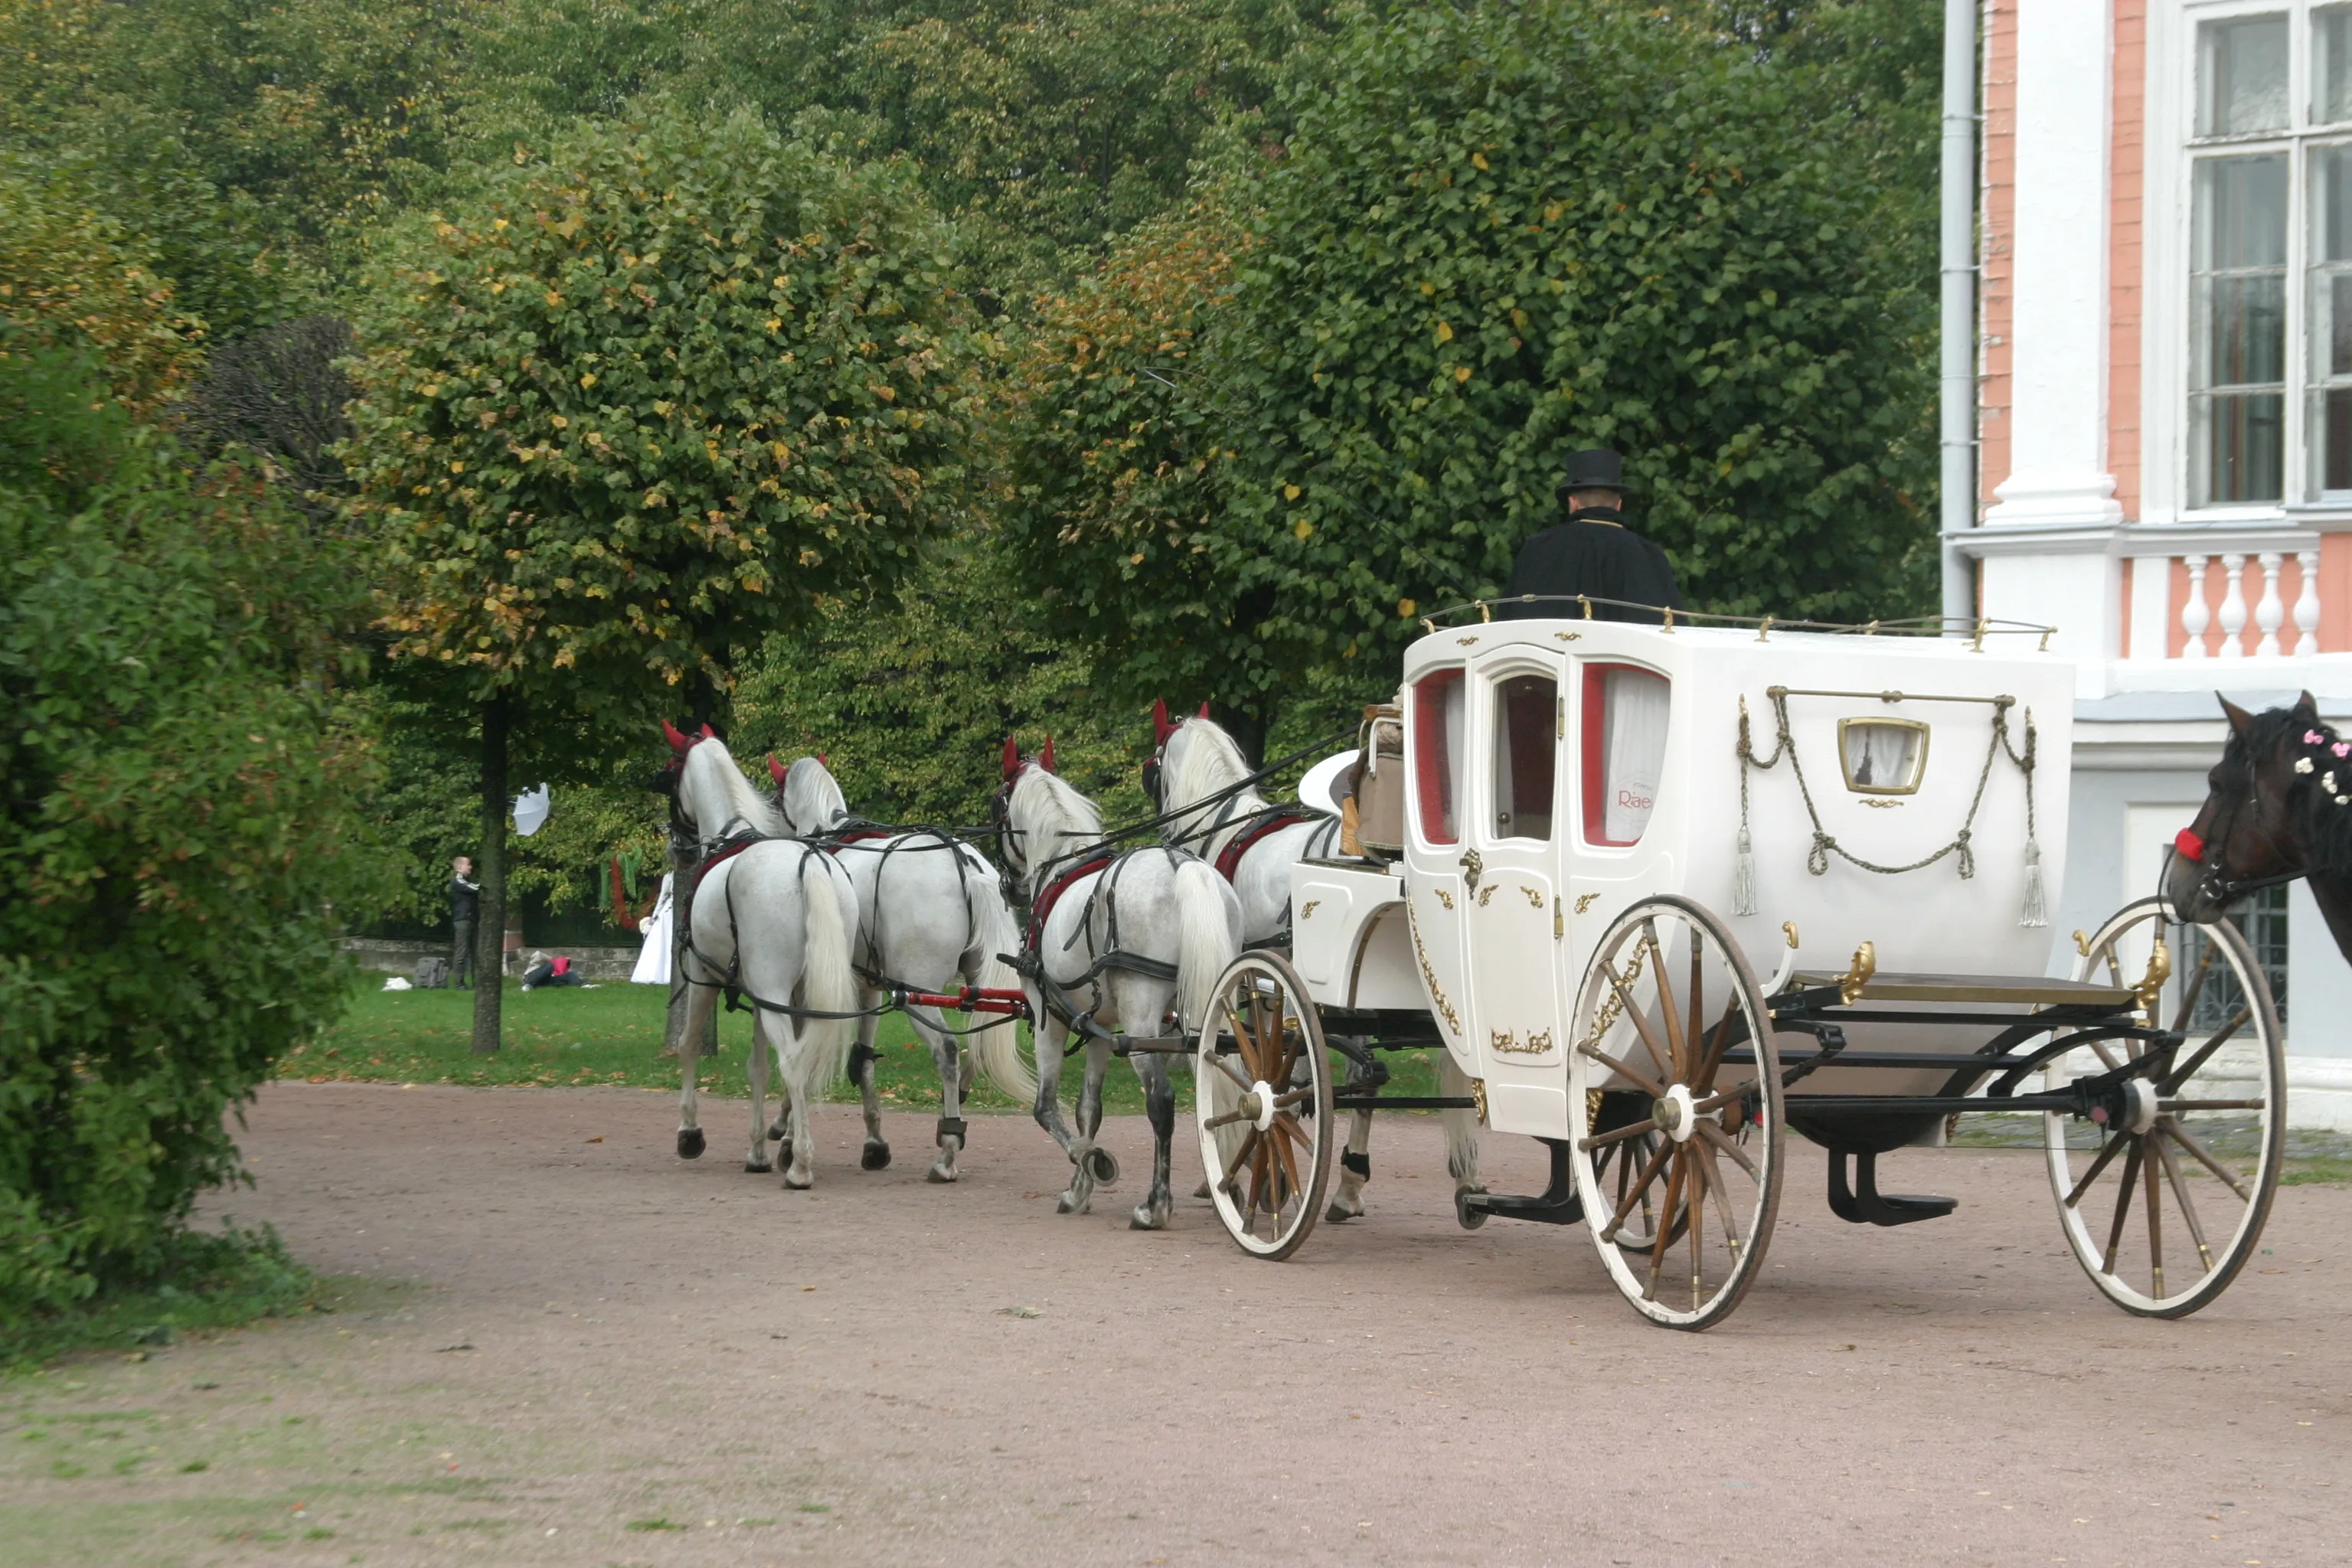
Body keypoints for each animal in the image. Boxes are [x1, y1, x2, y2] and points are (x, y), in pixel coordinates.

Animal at [663, 724, 865, 1189]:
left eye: (669, 772)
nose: (677, 846)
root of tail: (809, 863)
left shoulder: (703, 975)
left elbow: (688, 1044)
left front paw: (689, 1132)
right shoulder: (762, 996)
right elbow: (757, 1066)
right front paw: (757, 1150)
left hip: (769, 990)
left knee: (793, 1061)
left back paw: (801, 1165)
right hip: (799, 995)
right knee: (801, 1060)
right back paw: (792, 1149)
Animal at [771, 752, 1030, 1184]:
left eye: (775, 800)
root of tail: (966, 866)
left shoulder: (810, 990)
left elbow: (802, 1055)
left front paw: (786, 1132)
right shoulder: (870, 987)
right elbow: (862, 1060)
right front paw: (874, 1142)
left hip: (919, 993)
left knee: (947, 1050)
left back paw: (947, 1151)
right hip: (978, 985)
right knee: (978, 1044)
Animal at [997, 743, 1251, 1231]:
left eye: (996, 806)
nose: (1010, 888)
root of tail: (1181, 867)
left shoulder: (1050, 1016)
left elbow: (1046, 1108)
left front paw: (1092, 1161)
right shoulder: (1100, 1027)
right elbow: (1088, 1110)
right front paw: (1079, 1189)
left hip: (1143, 1018)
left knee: (1161, 1100)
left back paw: (1156, 1206)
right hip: (1211, 1008)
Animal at [1142, 705, 1486, 1231]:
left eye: (1154, 767)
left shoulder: (1249, 981)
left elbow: (1240, 1063)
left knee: (1366, 1078)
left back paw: (1347, 1183)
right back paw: (1460, 1182)